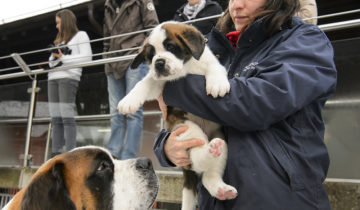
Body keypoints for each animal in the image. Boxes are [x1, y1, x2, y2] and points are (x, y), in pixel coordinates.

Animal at [116, 21, 238, 210]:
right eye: (151, 56)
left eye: (171, 47)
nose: (159, 63)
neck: (186, 67)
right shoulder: (159, 83)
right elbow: (144, 83)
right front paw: (128, 100)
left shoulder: (209, 62)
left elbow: (215, 68)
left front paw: (217, 83)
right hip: (185, 127)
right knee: (198, 160)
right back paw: (211, 156)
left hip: (218, 136)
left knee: (208, 172)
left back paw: (220, 185)